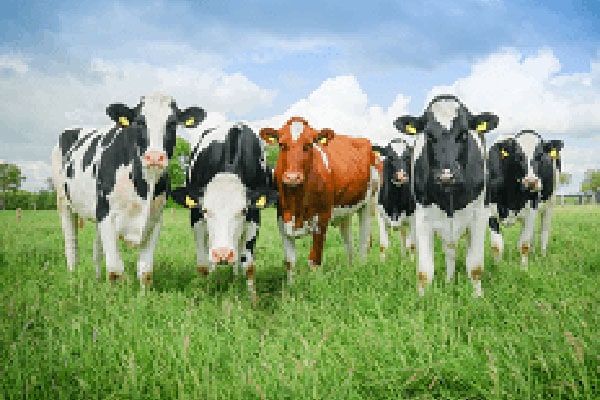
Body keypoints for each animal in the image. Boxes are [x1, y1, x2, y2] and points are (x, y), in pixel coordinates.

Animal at [51, 92, 206, 286]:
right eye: (139, 121)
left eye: (172, 123)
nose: (155, 157)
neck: (143, 187)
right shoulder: (106, 214)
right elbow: (115, 270)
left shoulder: (155, 219)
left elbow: (146, 272)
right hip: (64, 201)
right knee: (71, 242)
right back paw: (73, 276)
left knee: (97, 248)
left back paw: (97, 278)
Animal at [170, 122, 278, 304]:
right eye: (205, 210)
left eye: (243, 210)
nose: (222, 254)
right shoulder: (196, 216)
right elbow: (202, 264)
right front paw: (203, 293)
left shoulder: (254, 216)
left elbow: (248, 264)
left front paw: (253, 300)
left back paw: (235, 275)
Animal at [258, 117, 380, 282]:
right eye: (282, 144)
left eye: (309, 145)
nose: (292, 177)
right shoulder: (282, 219)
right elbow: (289, 261)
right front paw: (290, 286)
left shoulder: (322, 219)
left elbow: (314, 260)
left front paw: (316, 284)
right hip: (345, 211)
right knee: (348, 241)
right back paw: (350, 269)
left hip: (369, 203)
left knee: (365, 241)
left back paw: (361, 268)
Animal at [396, 94, 500, 296]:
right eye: (429, 135)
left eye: (464, 133)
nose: (446, 175)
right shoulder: (423, 216)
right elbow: (425, 271)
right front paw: (422, 298)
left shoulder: (478, 215)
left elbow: (475, 266)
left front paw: (478, 297)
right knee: (450, 250)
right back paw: (450, 280)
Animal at [486, 130, 564, 264]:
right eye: (518, 156)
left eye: (540, 156)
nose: (531, 182)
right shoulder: (489, 210)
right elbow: (497, 245)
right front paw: (497, 265)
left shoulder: (532, 207)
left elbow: (524, 243)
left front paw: (524, 267)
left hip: (550, 202)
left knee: (544, 231)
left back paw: (542, 255)